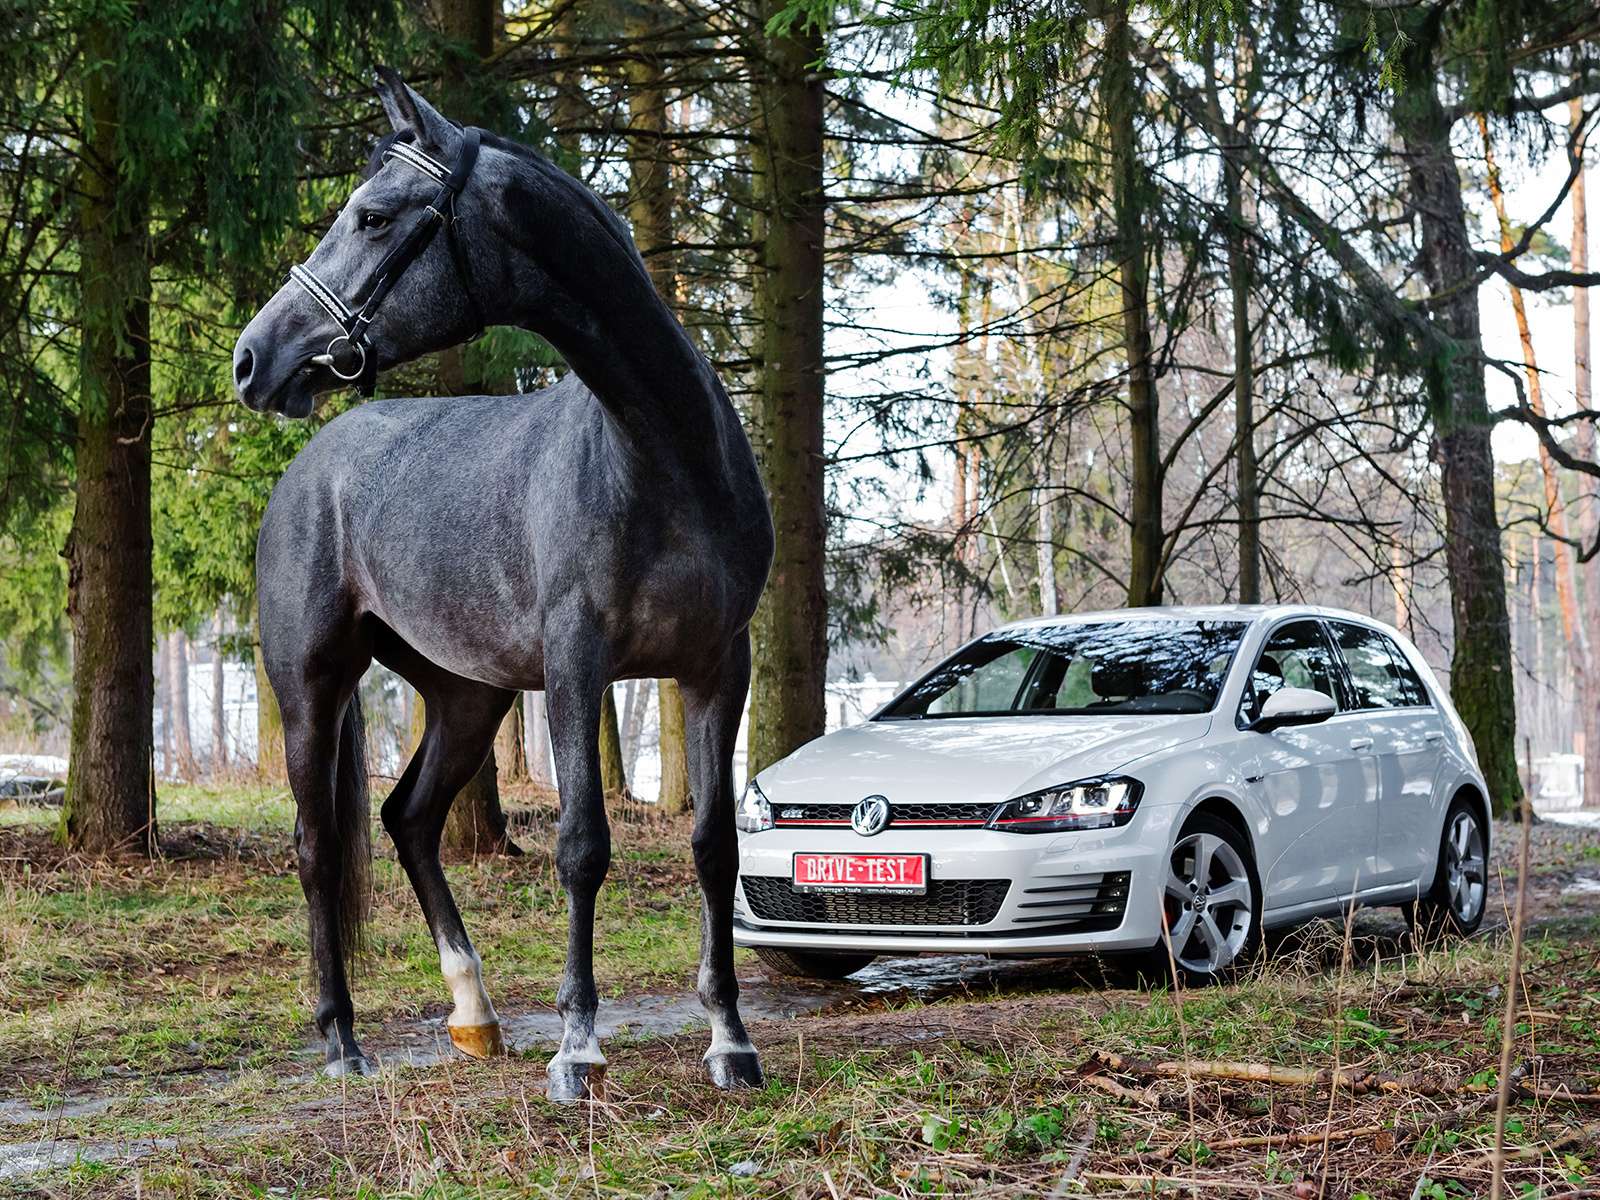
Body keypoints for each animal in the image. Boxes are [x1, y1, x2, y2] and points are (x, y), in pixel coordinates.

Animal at [228, 68, 771, 1100]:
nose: (253, 358)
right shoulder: (576, 665)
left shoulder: (720, 666)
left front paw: (730, 1039)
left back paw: (474, 1013)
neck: (662, 456)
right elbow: (582, 846)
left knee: (407, 820)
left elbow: (714, 847)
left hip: (467, 695)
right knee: (319, 849)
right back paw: (343, 1040)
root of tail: (313, 461)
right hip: (311, 687)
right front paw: (578, 1047)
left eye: (373, 217)